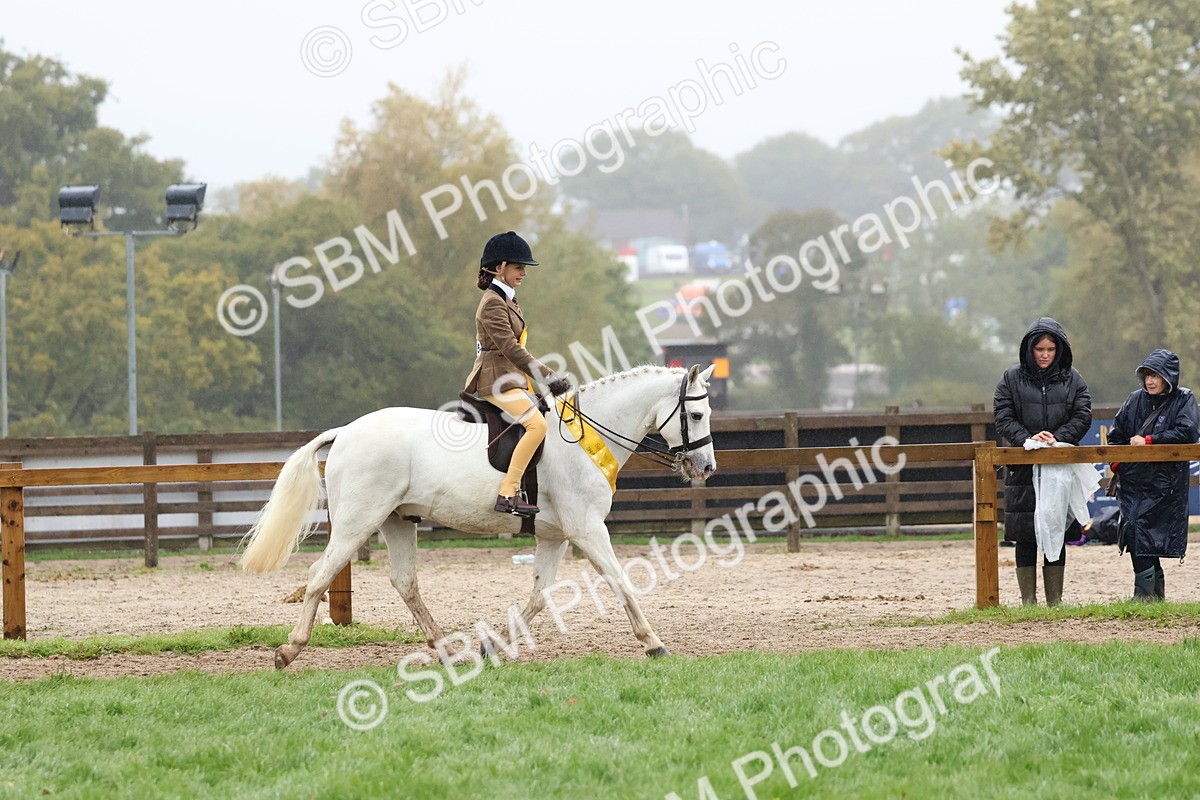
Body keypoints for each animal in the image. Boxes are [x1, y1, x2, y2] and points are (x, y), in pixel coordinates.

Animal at [240, 364, 718, 668]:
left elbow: (539, 596)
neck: (585, 436)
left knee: (405, 582)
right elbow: (620, 581)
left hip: (396, 521)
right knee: (320, 576)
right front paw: (653, 644)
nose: (707, 468)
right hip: (359, 521)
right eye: (695, 414)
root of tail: (347, 431)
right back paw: (289, 651)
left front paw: (493, 646)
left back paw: (448, 651)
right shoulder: (587, 528)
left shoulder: (555, 536)